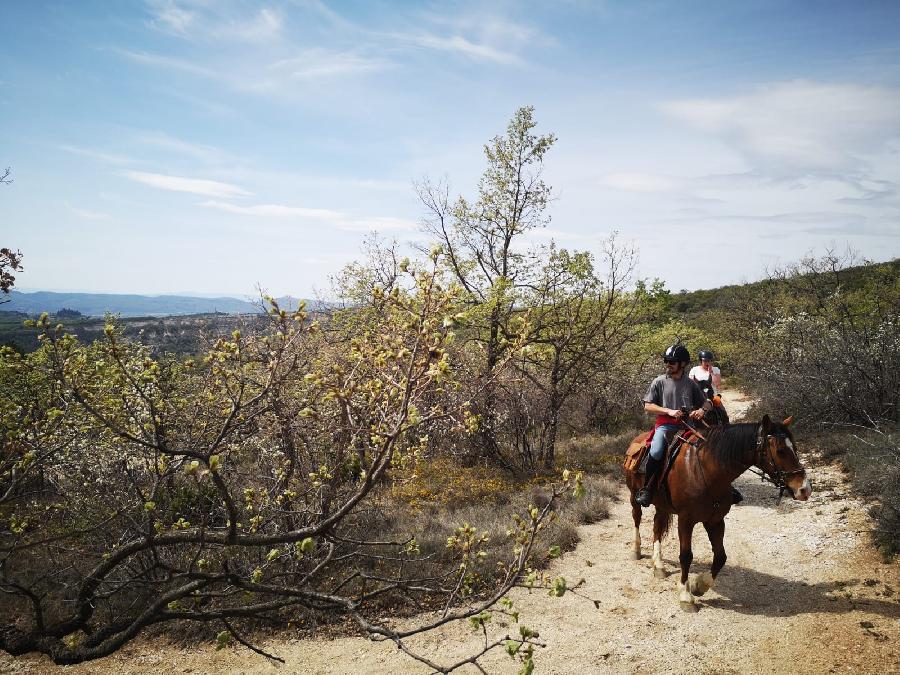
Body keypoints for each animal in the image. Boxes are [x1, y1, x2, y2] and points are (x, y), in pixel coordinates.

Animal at [624, 414, 812, 608]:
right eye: (780, 450)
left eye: (795, 448)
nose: (805, 489)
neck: (707, 472)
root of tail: (637, 439)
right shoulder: (686, 520)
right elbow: (686, 556)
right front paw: (685, 595)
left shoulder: (715, 520)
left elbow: (721, 557)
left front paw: (699, 585)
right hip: (634, 497)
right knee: (637, 518)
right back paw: (636, 550)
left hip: (662, 505)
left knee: (657, 527)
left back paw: (659, 565)